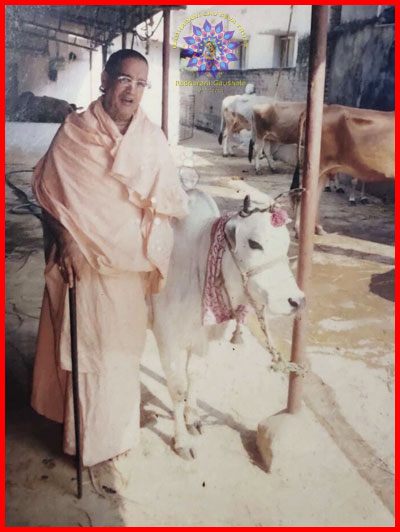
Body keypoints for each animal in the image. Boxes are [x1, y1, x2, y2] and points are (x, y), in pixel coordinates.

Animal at [151, 188, 305, 459]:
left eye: (287, 244)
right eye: (254, 243)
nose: (296, 301)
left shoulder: (201, 340)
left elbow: (194, 375)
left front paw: (193, 417)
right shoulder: (167, 339)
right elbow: (178, 389)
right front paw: (182, 441)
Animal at [291, 104, 395, 235]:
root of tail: (326, 108)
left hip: (324, 170)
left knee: (314, 195)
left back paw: (318, 228)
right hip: (318, 165)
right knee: (301, 193)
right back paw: (298, 229)